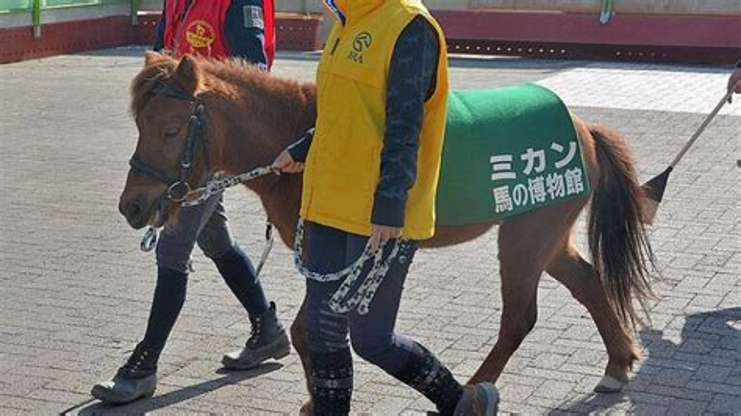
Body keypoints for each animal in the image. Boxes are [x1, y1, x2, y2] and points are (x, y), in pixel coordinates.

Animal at [119, 52, 656, 403]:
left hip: (525, 237)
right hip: (546, 234)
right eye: (138, 126)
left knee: (519, 318)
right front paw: (315, 398)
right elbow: (306, 333)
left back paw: (476, 387)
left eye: (170, 130)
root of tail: (584, 128)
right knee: (588, 282)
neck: (313, 144)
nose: (132, 206)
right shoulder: (322, 261)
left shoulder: (345, 259)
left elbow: (314, 332)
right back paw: (616, 365)